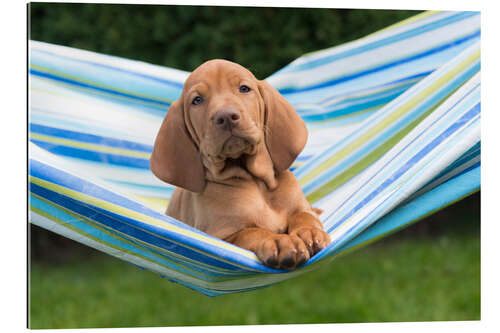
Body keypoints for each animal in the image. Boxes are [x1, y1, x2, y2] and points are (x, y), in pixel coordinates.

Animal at [152, 58, 332, 268]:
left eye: (244, 89)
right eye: (197, 100)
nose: (226, 116)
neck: (257, 183)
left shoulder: (300, 208)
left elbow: (305, 216)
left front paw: (310, 233)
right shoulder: (222, 236)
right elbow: (252, 232)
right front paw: (279, 241)